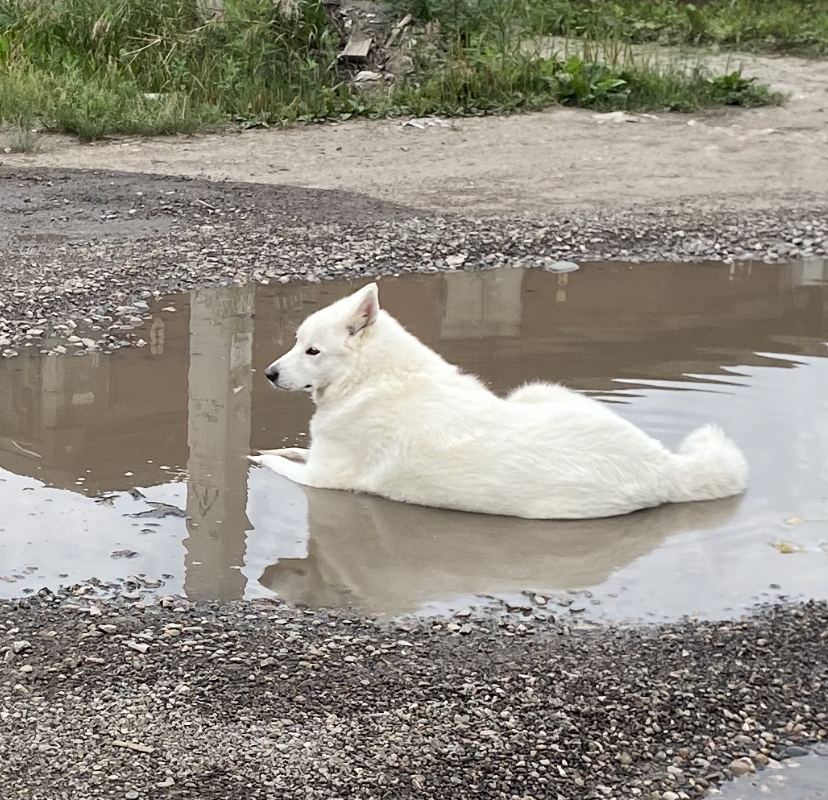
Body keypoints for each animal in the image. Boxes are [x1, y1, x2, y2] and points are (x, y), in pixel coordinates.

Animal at [249, 282, 748, 520]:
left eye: (312, 351)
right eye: (296, 343)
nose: (269, 373)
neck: (372, 378)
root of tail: (668, 470)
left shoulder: (322, 481)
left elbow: (278, 463)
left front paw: (258, 457)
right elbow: (293, 448)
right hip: (534, 391)